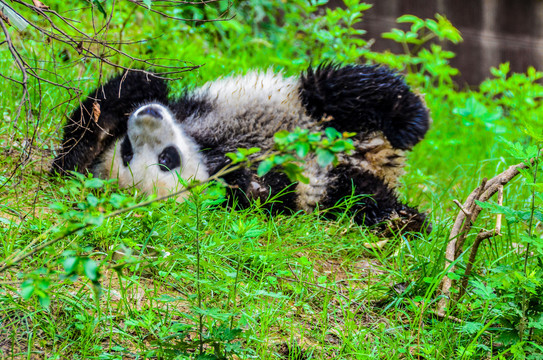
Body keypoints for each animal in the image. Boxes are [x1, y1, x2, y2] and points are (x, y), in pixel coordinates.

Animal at [52, 64, 434, 233]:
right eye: (166, 159)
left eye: (126, 149)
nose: (148, 116)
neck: (210, 152)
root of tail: (375, 158)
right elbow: (267, 190)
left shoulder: (196, 112)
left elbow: (123, 93)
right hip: (340, 188)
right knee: (358, 196)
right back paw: (402, 218)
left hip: (310, 109)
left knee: (337, 90)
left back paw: (410, 121)